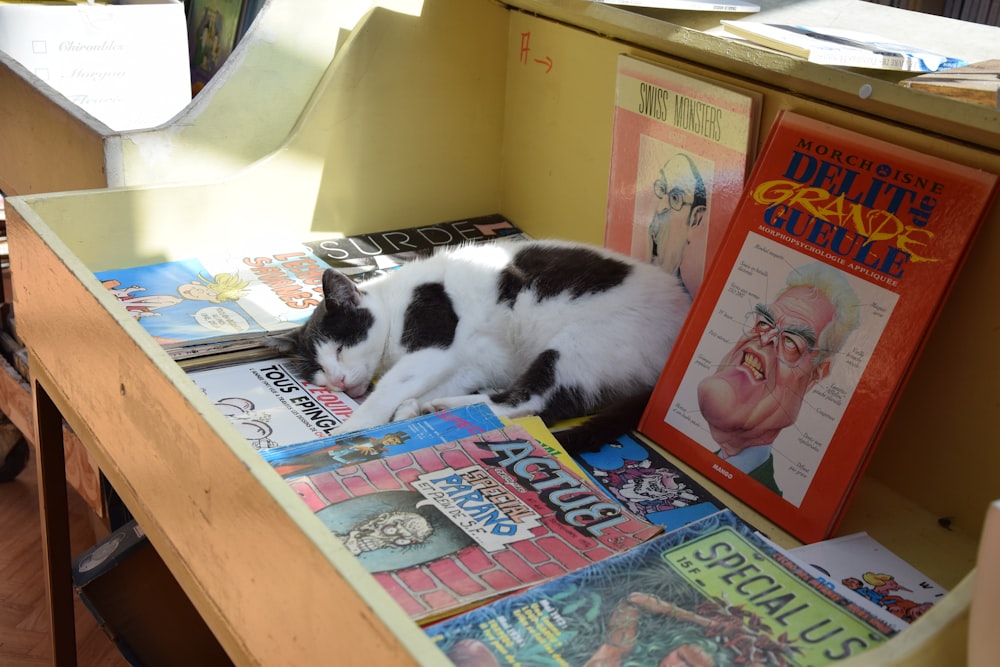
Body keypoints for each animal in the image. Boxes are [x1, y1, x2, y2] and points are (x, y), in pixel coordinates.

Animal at [270, 237, 692, 452]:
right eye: (319, 373)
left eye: (341, 348)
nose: (339, 382)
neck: (394, 299)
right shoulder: (470, 362)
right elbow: (427, 384)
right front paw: (409, 408)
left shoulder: (433, 343)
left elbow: (387, 390)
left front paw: (349, 429)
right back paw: (438, 406)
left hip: (578, 344)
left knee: (533, 403)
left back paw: (446, 406)